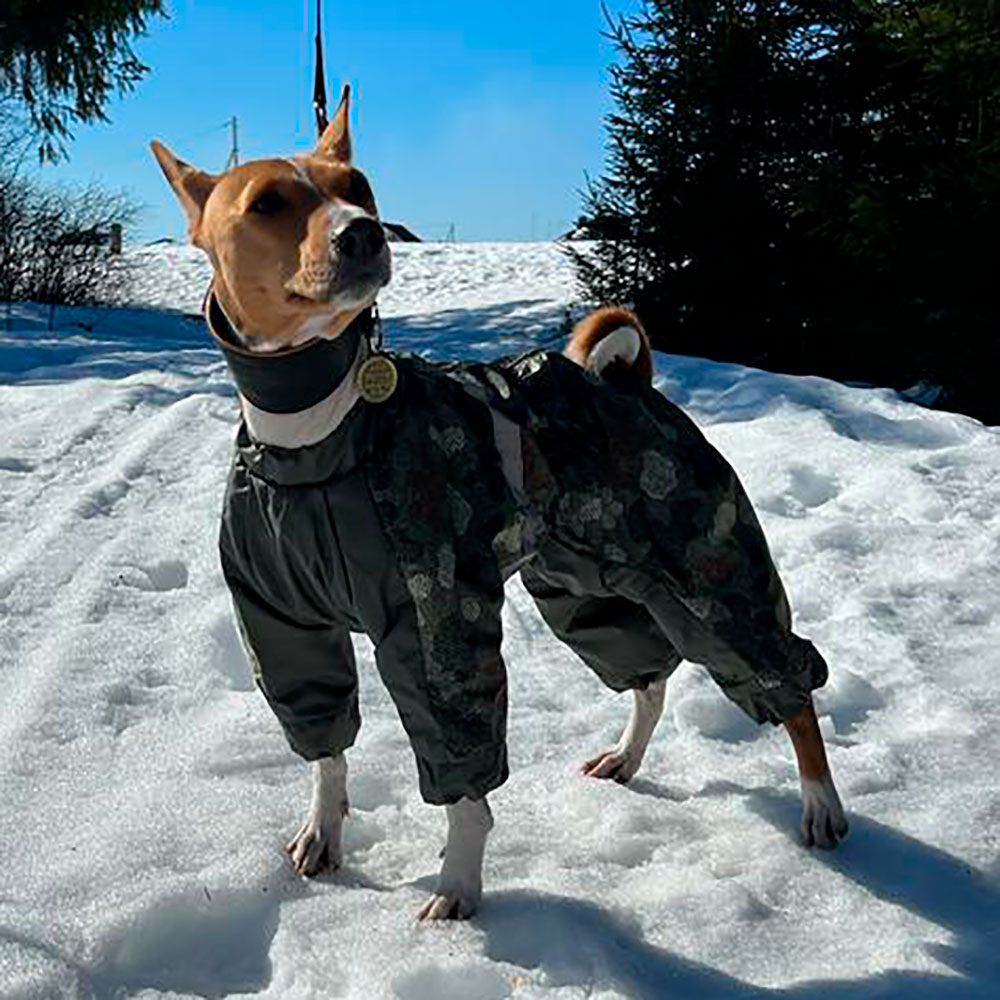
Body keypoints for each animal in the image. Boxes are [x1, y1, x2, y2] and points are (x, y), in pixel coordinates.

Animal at [151, 85, 847, 922]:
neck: (317, 436)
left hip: (708, 570)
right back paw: (626, 758)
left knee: (787, 682)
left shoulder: (438, 623)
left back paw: (820, 804)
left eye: (358, 187)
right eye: (267, 203)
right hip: (585, 587)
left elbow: (464, 788)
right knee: (649, 675)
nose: (363, 234)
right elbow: (325, 747)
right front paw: (323, 834)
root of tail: (627, 381)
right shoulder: (284, 627)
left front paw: (458, 887)